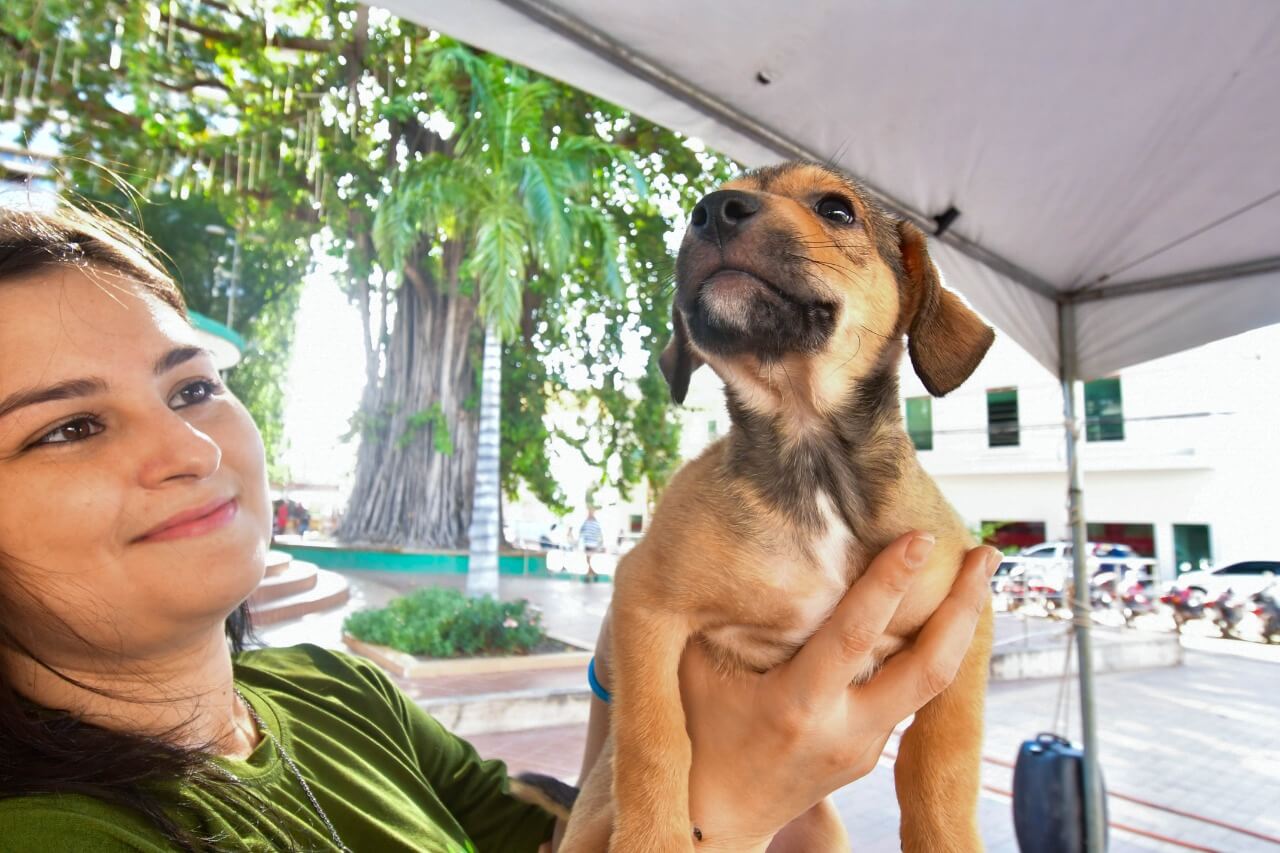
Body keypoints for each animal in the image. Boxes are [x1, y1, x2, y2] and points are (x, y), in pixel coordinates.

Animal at [563, 161, 998, 850]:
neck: (808, 451)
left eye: (838, 210)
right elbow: (654, 739)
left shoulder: (968, 616)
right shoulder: (643, 600)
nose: (712, 210)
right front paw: (654, 836)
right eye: (703, 205)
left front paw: (945, 835)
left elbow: (940, 759)